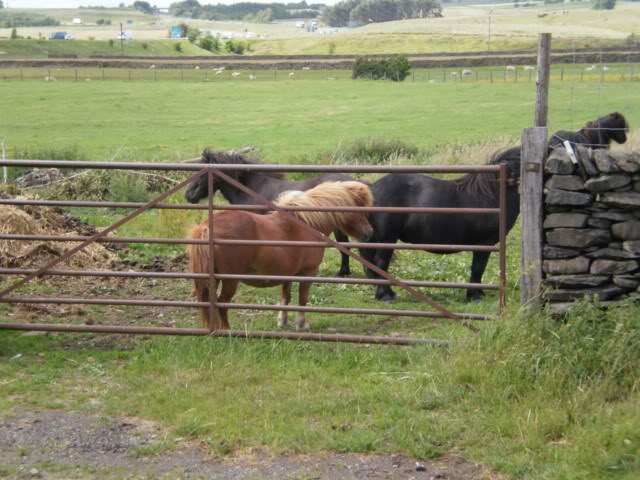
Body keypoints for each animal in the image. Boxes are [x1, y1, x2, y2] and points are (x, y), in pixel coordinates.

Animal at [188, 180, 372, 330]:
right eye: (359, 210)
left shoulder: (288, 273)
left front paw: (282, 321)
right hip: (230, 280)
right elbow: (302, 299)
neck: (307, 223)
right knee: (222, 304)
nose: (369, 233)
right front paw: (301, 324)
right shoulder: (309, 272)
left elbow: (286, 298)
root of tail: (206, 227)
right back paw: (227, 331)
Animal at [358, 148, 524, 302]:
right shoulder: (484, 243)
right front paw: (474, 295)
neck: (492, 194)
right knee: (380, 263)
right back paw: (386, 295)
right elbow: (478, 268)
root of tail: (372, 189)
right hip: (387, 239)